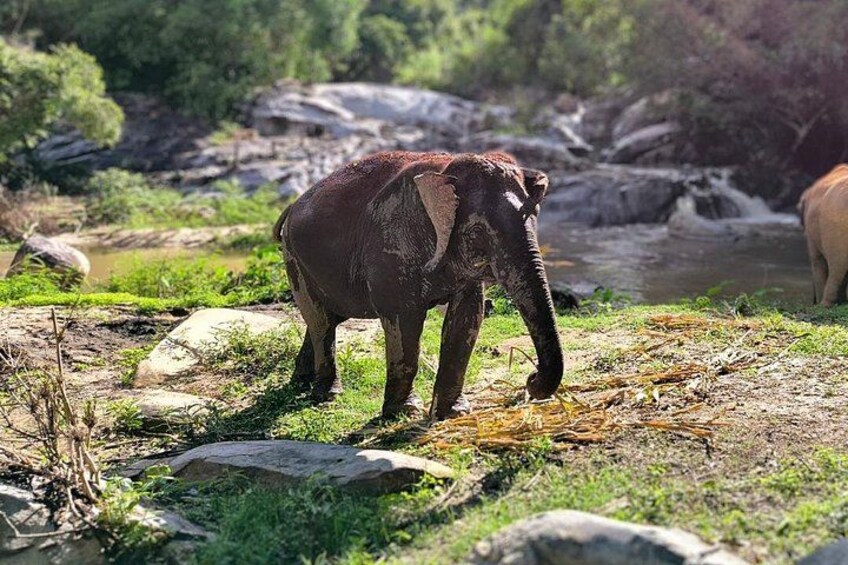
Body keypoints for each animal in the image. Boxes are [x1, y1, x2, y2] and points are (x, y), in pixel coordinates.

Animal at [273, 150, 564, 420]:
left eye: (534, 218)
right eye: (476, 232)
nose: (530, 380)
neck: (446, 172)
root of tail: (292, 206)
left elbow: (467, 318)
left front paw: (452, 413)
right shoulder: (391, 246)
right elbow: (404, 320)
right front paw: (404, 412)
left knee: (326, 319)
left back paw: (301, 382)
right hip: (294, 257)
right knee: (321, 321)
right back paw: (326, 394)